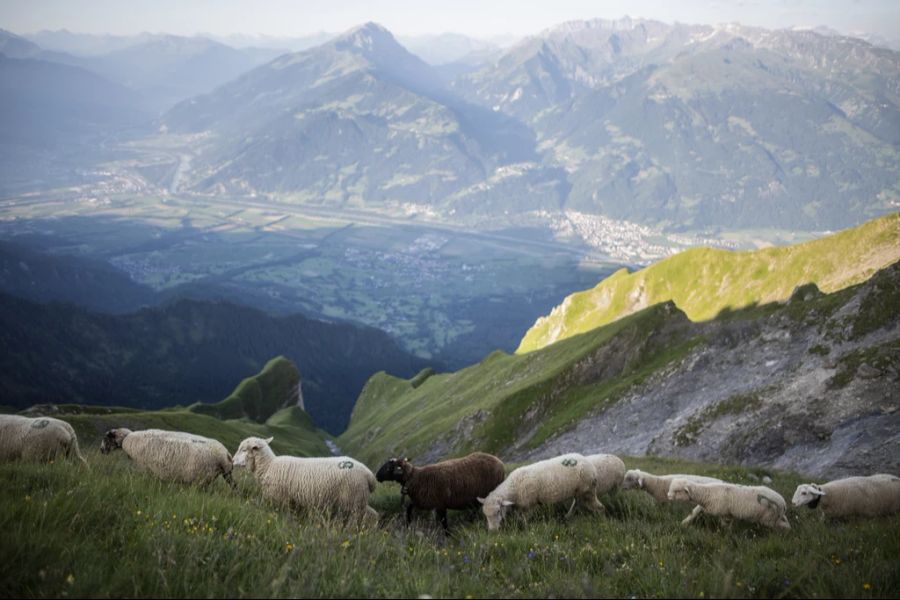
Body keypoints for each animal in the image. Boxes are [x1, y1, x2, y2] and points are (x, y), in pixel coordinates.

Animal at [100, 426, 234, 488]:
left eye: (106, 439)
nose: (101, 450)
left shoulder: (144, 468)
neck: (128, 439)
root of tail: (226, 455)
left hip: (202, 477)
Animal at [232, 436, 376, 524]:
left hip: (353, 501)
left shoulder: (280, 500)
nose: (232, 460)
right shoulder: (292, 502)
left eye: (243, 450)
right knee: (371, 515)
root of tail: (369, 475)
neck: (269, 466)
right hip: (359, 501)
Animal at [374, 452, 506, 532]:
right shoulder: (422, 501)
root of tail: (500, 462)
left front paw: (448, 536)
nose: (376, 476)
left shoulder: (440, 505)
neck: (415, 477)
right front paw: (408, 524)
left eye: (388, 468)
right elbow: (409, 509)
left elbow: (444, 523)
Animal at [664, 478, 792, 528]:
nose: (668, 496)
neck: (706, 494)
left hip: (769, 519)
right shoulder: (706, 507)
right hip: (775, 517)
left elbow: (724, 525)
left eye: (677, 491)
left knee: (780, 526)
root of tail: (783, 503)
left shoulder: (724, 513)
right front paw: (684, 523)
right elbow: (694, 512)